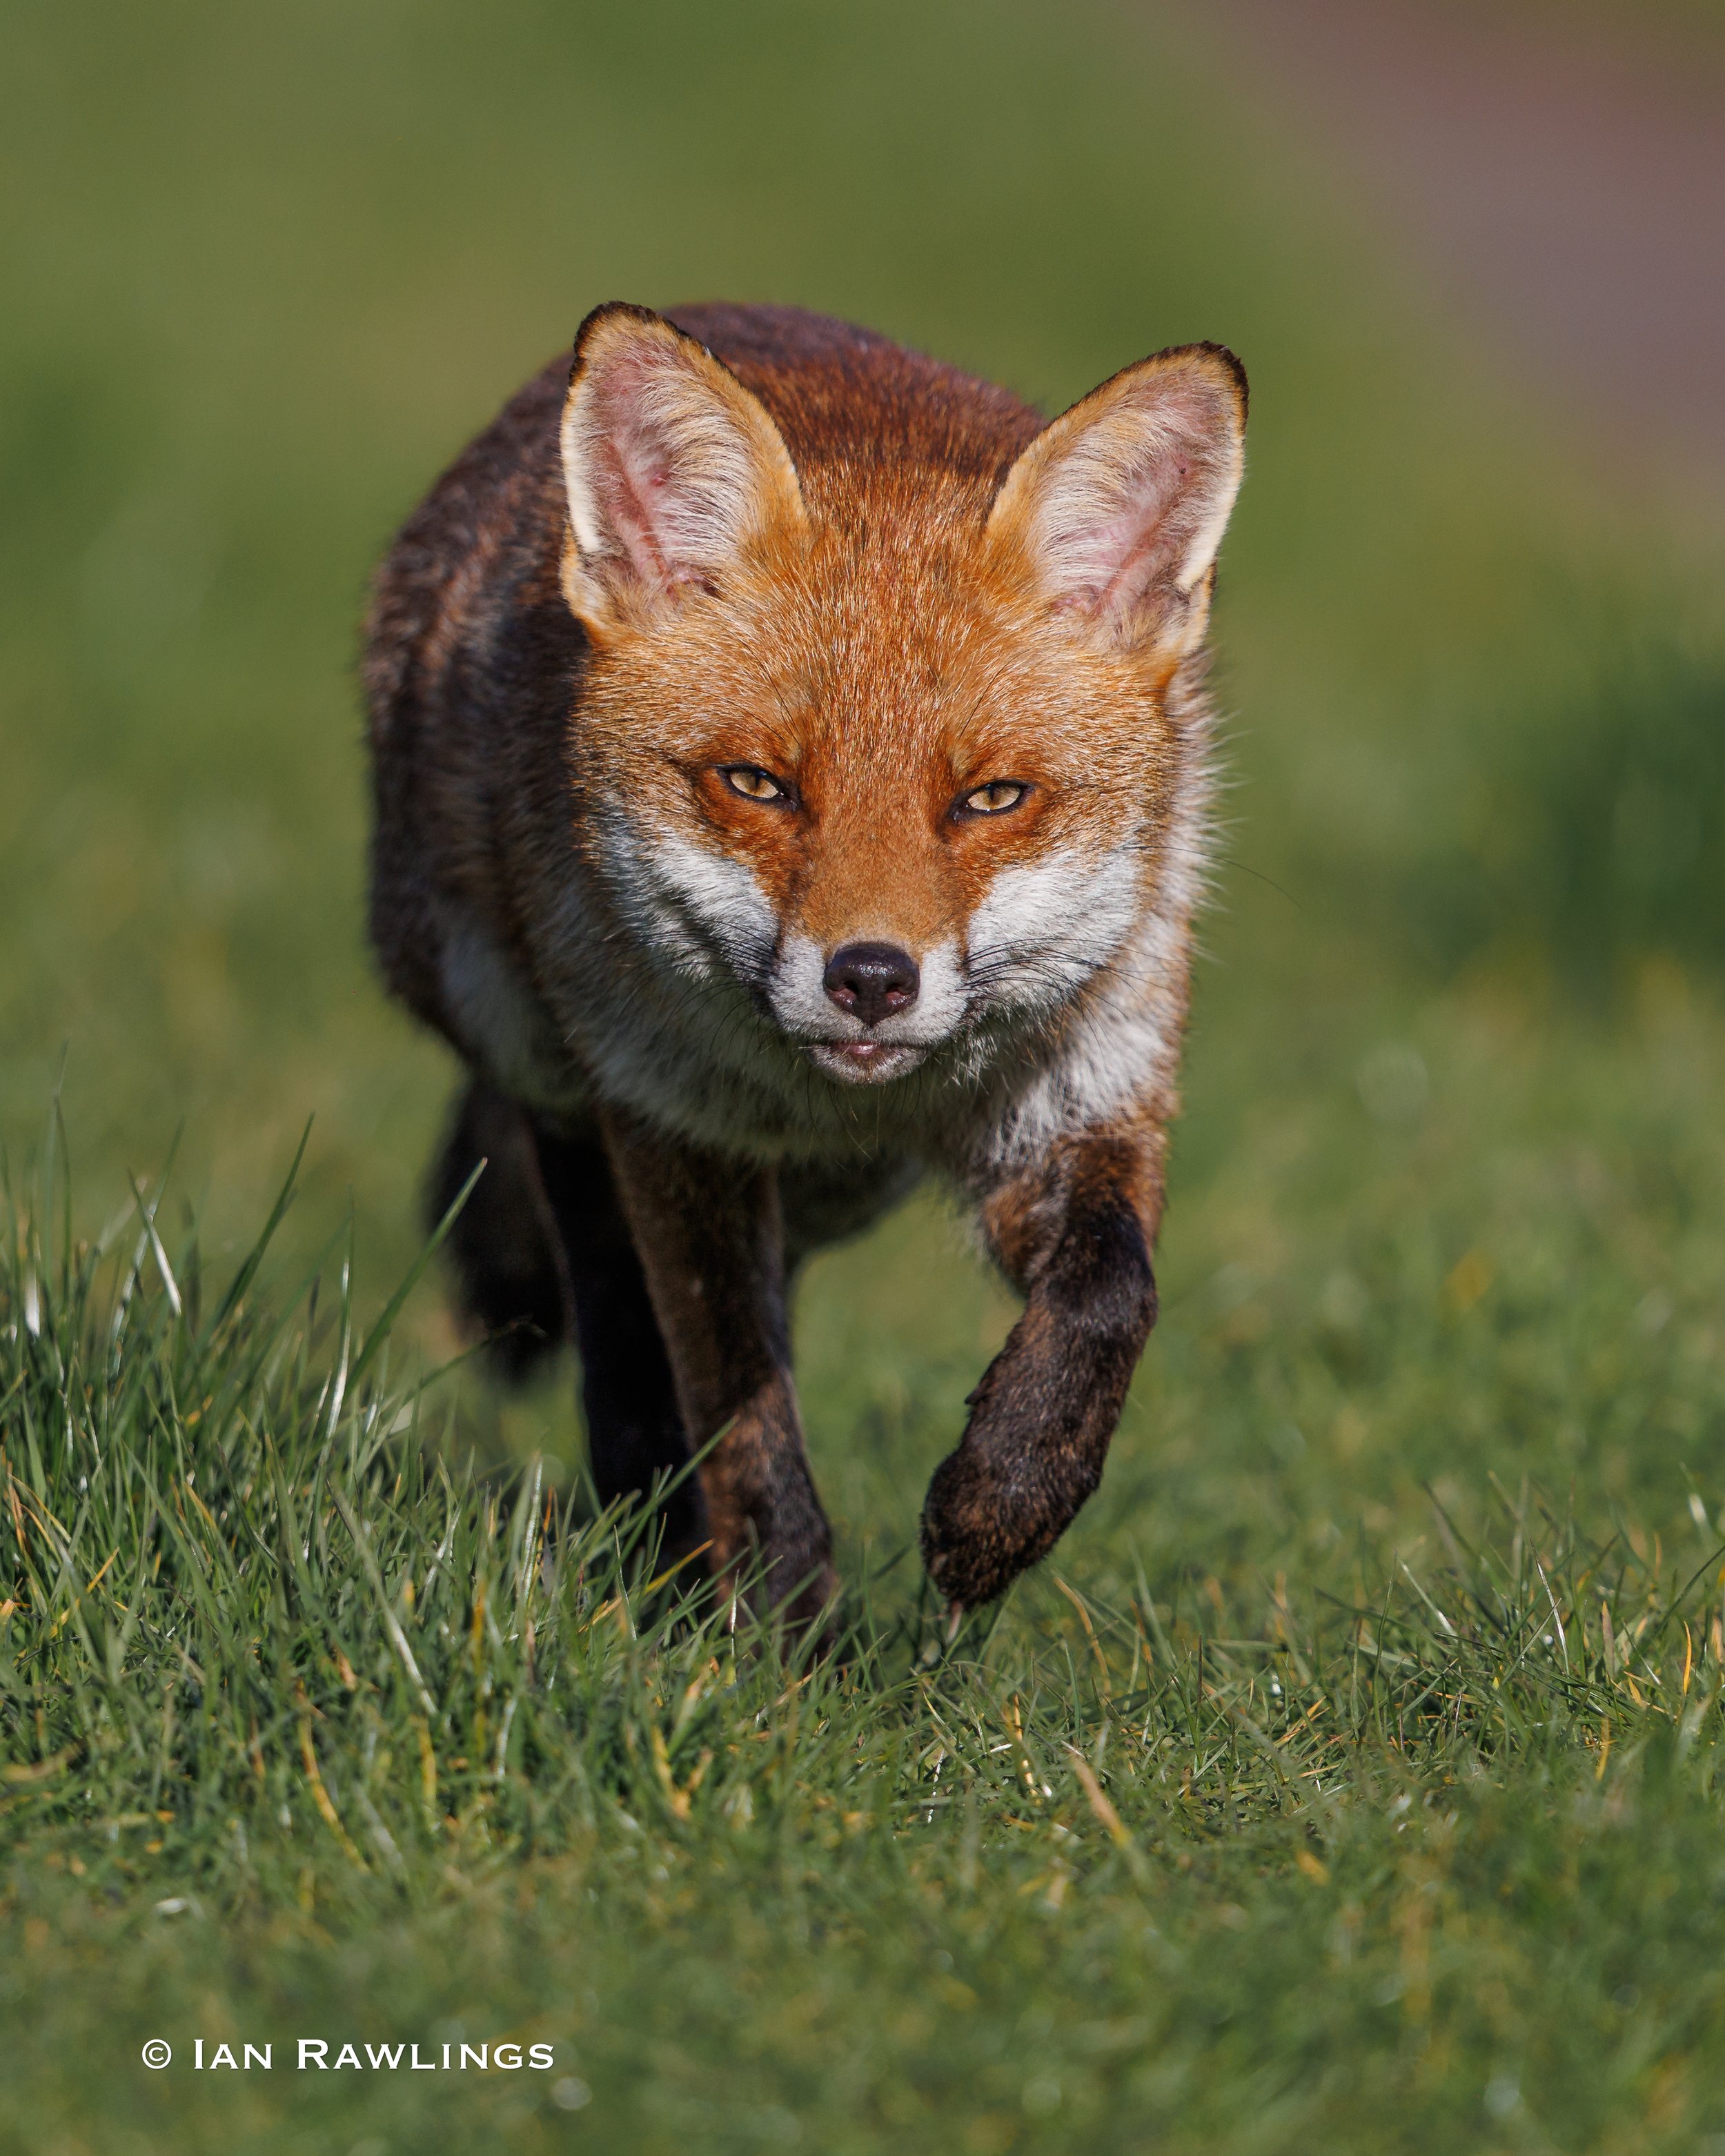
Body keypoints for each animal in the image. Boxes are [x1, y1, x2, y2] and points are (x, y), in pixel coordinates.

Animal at [364, 302, 1246, 1627]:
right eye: (760, 785)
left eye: (991, 798)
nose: (871, 978)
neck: (856, 1102)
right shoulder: (677, 1129)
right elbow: (742, 1421)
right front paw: (787, 1639)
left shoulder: (1084, 1090)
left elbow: (1111, 1298)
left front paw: (1003, 1506)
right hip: (544, 1056)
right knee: (608, 1303)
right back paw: (654, 1528)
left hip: (837, 1197)